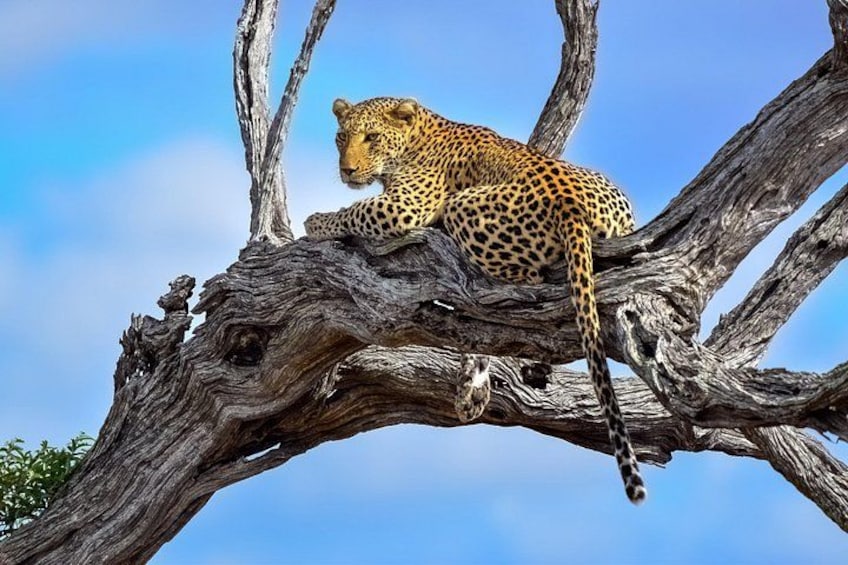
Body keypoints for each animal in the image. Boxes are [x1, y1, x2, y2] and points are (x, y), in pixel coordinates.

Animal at [305, 96, 646, 504]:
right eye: (341, 137)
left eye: (372, 137)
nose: (348, 170)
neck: (420, 133)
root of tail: (568, 201)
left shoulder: (405, 205)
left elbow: (357, 211)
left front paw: (316, 222)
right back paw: (475, 382)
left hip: (462, 206)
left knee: (518, 298)